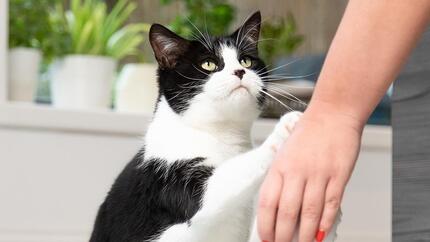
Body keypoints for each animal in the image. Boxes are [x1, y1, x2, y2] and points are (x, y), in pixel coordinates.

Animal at [90, 11, 340, 242]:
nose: (240, 71)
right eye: (208, 64)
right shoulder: (170, 183)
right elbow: (224, 183)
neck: (219, 134)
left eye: (246, 61)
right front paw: (286, 127)